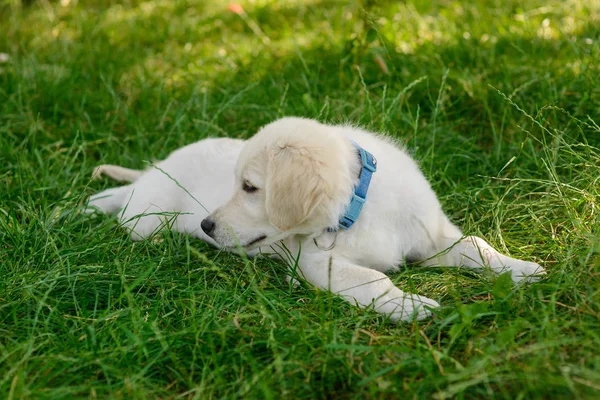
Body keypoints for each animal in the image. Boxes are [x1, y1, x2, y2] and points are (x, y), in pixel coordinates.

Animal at [88, 116, 544, 322]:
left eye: (249, 187)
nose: (207, 226)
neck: (360, 207)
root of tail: (154, 170)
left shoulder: (431, 236)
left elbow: (475, 246)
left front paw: (518, 267)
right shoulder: (313, 261)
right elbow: (371, 278)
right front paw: (407, 304)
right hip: (149, 216)